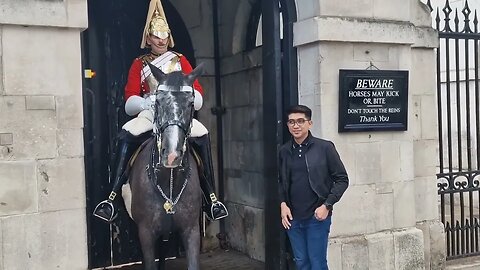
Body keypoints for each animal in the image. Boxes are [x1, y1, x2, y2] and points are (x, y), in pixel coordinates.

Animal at [124, 62, 202, 268]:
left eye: (191, 103)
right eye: (157, 102)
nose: (172, 156)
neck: (169, 181)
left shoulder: (191, 230)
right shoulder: (145, 233)